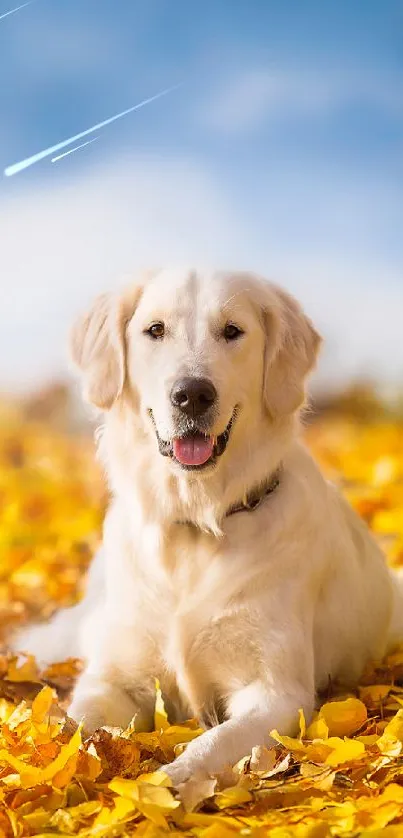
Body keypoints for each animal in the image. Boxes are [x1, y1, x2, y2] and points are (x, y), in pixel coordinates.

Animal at [14, 270, 403, 788]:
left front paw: (170, 783)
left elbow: (211, 743)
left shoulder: (276, 692)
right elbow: (76, 724)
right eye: (155, 330)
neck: (195, 525)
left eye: (233, 331)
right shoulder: (116, 678)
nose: (193, 394)